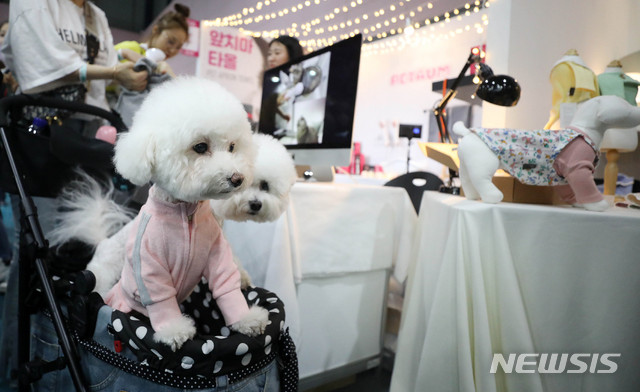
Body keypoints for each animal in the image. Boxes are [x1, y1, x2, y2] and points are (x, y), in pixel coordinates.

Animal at [452, 95, 640, 211]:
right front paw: (598, 205)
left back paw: (472, 196)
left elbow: (570, 191)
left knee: (467, 180)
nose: (638, 108)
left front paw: (579, 203)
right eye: (625, 104)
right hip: (484, 163)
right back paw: (492, 196)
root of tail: (468, 132)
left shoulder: (561, 176)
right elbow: (586, 187)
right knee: (481, 179)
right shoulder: (577, 169)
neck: (585, 132)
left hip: (466, 164)